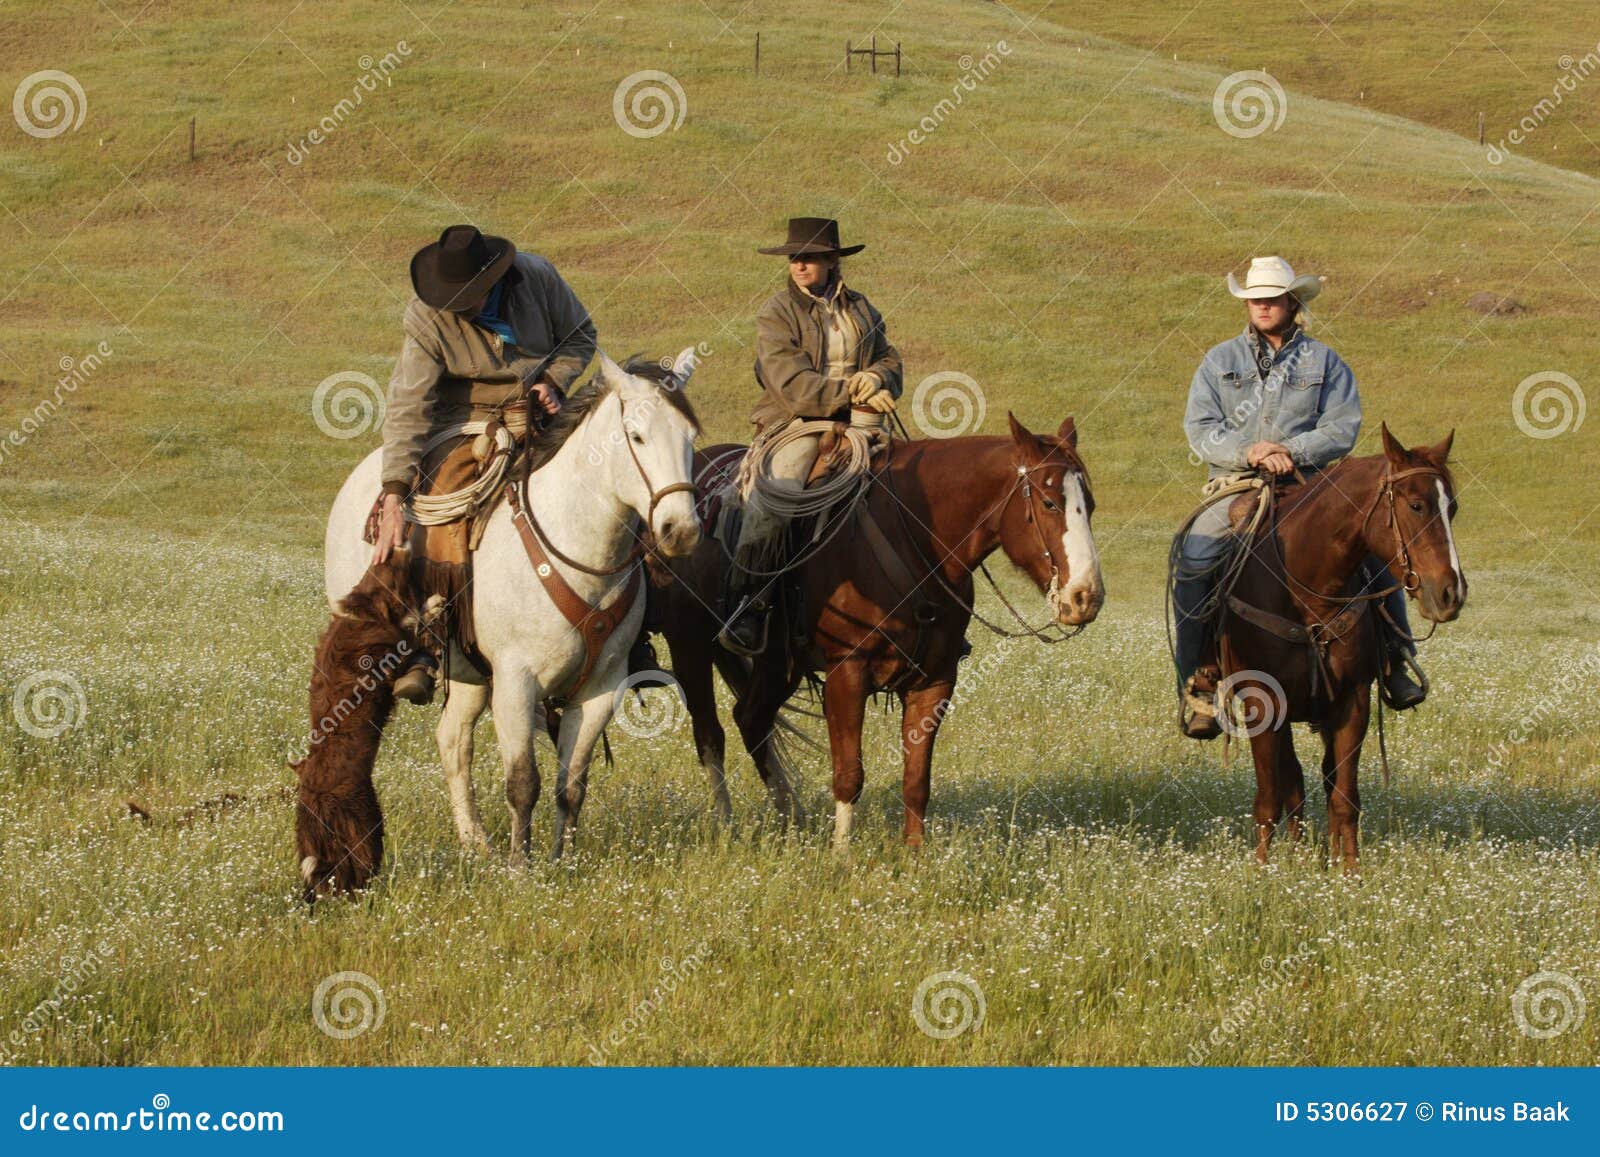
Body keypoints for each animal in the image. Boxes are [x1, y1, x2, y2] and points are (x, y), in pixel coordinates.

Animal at [292, 553, 444, 902]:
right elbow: (415, 627)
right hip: (365, 831)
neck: (363, 613)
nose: (402, 548)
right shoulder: (392, 652)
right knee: (356, 875)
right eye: (399, 572)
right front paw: (433, 605)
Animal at [323, 348, 700, 864]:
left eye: (691, 438)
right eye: (637, 436)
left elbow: (570, 786)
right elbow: (524, 783)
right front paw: (521, 868)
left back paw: (475, 843)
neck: (576, 550)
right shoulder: (516, 684)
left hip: (470, 675)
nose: (681, 530)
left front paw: (564, 861)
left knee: (453, 741)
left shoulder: (601, 688)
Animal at [649, 412, 1100, 844]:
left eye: (1091, 505)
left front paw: (914, 855)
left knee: (751, 719)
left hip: (778, 664)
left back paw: (791, 821)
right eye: (1049, 503)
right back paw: (726, 825)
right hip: (689, 646)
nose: (1086, 597)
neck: (914, 538)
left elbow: (917, 781)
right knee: (711, 735)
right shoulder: (846, 673)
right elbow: (849, 774)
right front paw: (841, 856)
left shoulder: (935, 681)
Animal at [1222, 425, 1465, 870]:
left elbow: (1343, 797)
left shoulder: (1353, 701)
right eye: (1417, 505)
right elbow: (1269, 797)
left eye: (1452, 508)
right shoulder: (1264, 702)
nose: (1450, 593)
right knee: (1292, 782)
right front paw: (1263, 871)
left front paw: (1349, 871)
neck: (1306, 587)